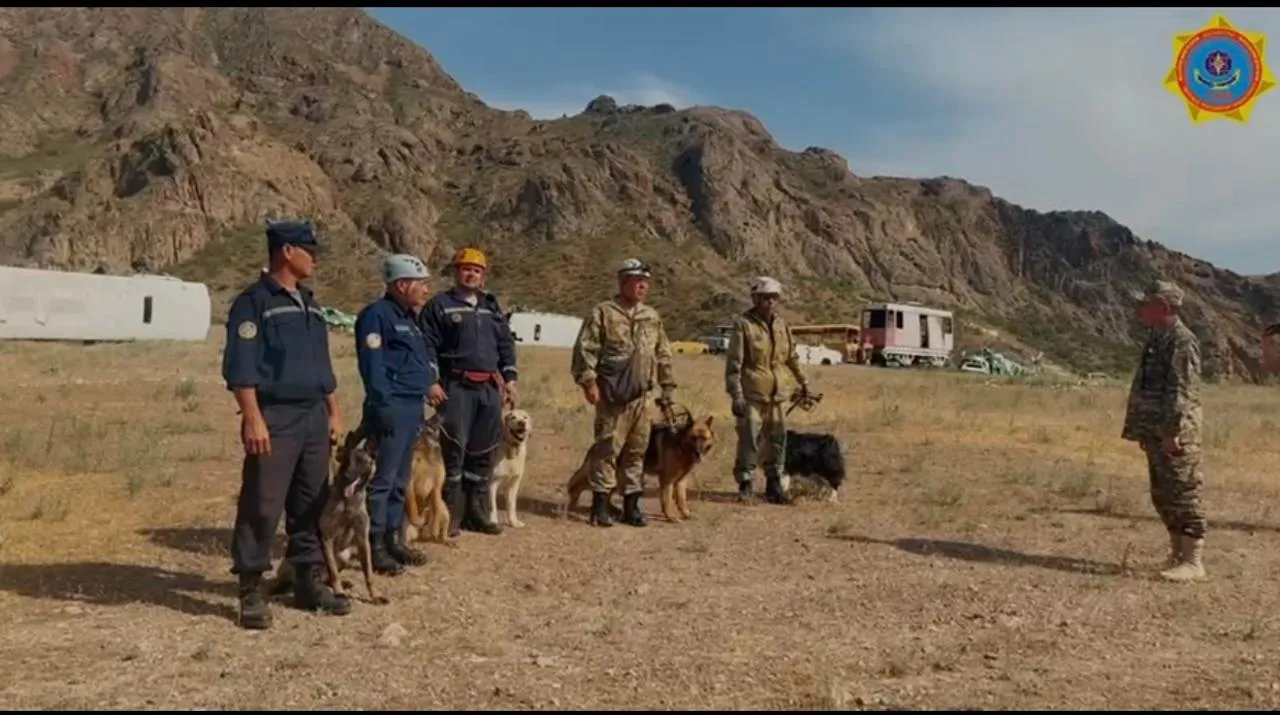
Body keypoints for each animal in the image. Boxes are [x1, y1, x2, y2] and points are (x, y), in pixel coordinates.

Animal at [272, 424, 386, 603]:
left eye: (361, 461)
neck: (348, 502)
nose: (347, 475)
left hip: (344, 556)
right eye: (346, 461)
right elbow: (333, 572)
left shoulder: (362, 540)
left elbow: (368, 572)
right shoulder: (327, 539)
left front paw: (374, 595)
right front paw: (339, 592)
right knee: (294, 580)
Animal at [409, 414, 455, 547]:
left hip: (446, 512)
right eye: (429, 421)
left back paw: (444, 539)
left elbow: (436, 503)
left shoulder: (437, 484)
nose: (440, 414)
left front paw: (434, 529)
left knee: (442, 524)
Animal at [563, 404, 716, 526]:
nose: (698, 452)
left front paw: (685, 514)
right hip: (616, 475)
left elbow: (681, 499)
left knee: (608, 494)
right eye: (693, 438)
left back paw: (616, 511)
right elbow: (667, 500)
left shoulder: (681, 481)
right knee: (591, 488)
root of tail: (596, 446)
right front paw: (670, 517)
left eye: (704, 438)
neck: (679, 443)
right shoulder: (667, 481)